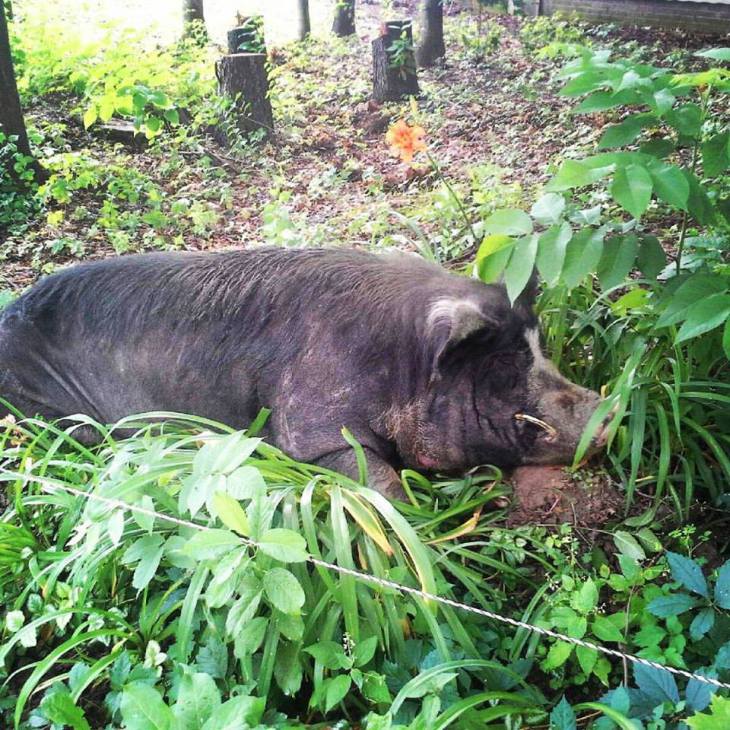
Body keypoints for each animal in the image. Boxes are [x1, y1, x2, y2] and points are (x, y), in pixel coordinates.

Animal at [0, 247, 604, 498]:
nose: (609, 408)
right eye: (503, 364)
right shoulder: (312, 431)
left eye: (542, 347)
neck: (397, 363)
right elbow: (378, 481)